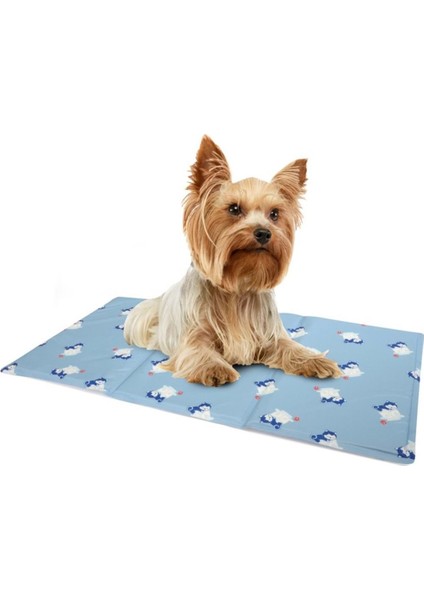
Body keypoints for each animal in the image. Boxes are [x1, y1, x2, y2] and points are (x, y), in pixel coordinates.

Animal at [124, 136, 342, 386]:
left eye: (274, 214)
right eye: (234, 209)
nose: (264, 233)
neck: (238, 286)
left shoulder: (269, 335)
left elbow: (289, 346)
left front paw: (314, 361)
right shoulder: (194, 335)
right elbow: (196, 349)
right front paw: (213, 367)